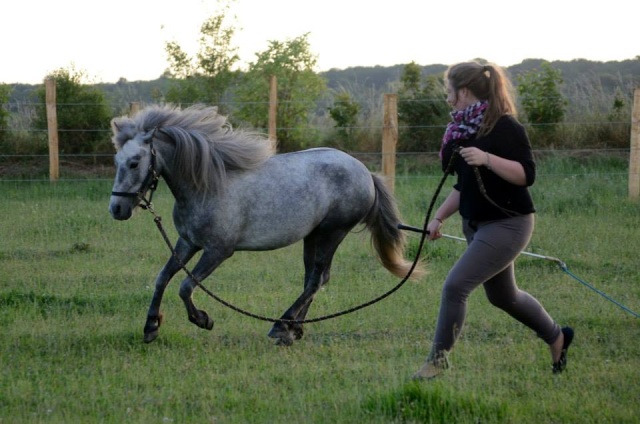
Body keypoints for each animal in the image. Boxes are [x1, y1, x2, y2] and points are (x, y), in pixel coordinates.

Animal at [108, 104, 422, 346]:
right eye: (117, 160)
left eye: (134, 163)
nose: (117, 209)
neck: (207, 184)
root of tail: (365, 172)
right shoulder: (187, 242)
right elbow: (162, 278)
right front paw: (151, 326)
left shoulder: (218, 251)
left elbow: (186, 286)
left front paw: (203, 320)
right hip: (313, 235)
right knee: (315, 279)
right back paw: (293, 330)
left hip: (332, 232)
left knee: (316, 280)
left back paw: (281, 326)